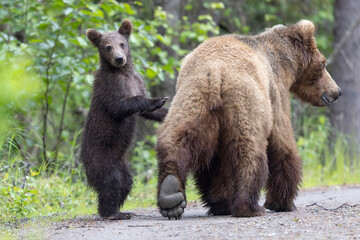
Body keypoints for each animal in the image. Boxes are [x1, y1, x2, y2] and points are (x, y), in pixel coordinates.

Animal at [157, 20, 340, 219]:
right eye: (324, 63)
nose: (337, 91)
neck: (284, 61)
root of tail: (215, 71)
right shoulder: (275, 90)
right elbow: (282, 141)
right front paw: (283, 203)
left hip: (192, 99)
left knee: (179, 139)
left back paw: (173, 196)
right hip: (245, 98)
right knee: (249, 151)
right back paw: (250, 207)